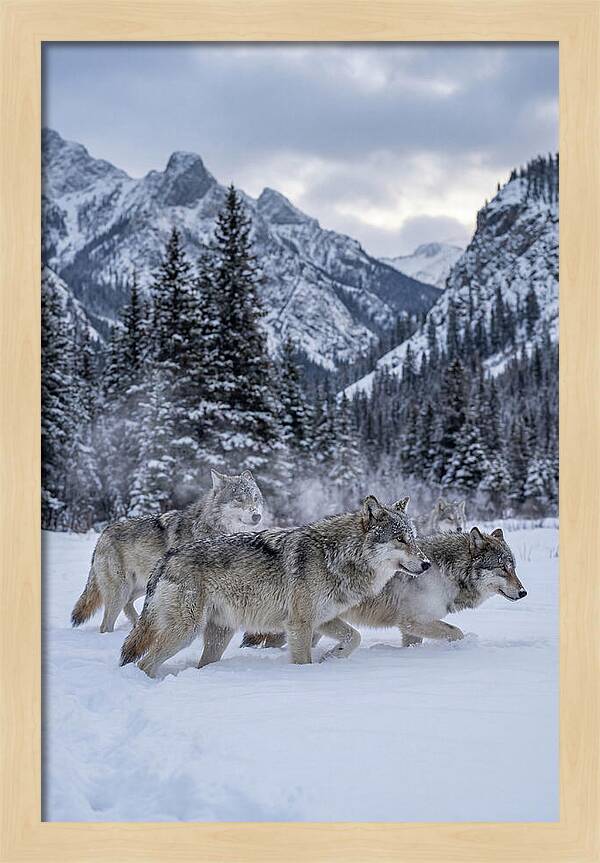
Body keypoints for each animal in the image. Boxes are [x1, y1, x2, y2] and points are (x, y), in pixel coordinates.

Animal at [71, 469, 263, 633]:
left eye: (255, 498)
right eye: (239, 499)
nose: (257, 516)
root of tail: (103, 533)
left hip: (142, 586)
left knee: (128, 606)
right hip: (121, 591)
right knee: (106, 624)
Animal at [120, 496, 430, 676]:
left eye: (413, 537)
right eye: (400, 539)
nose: (427, 563)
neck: (337, 555)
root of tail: (166, 558)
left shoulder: (323, 619)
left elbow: (354, 637)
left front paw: (332, 657)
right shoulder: (300, 624)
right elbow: (303, 660)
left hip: (219, 635)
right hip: (185, 632)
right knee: (144, 663)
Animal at [343, 526, 526, 647]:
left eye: (513, 568)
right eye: (503, 568)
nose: (523, 592)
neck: (447, 573)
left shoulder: (410, 628)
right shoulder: (413, 621)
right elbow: (456, 632)